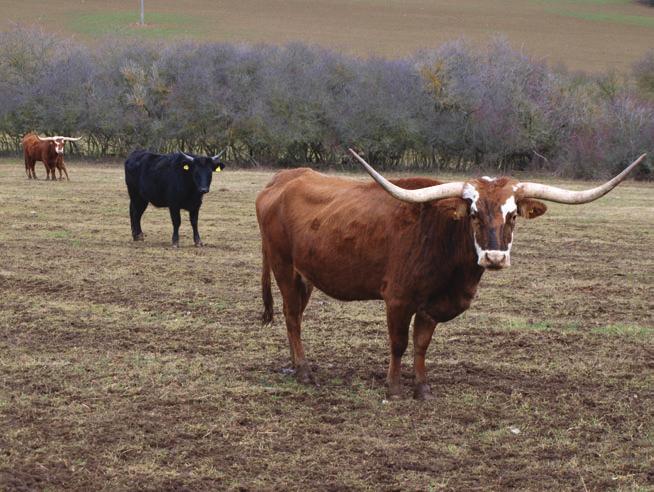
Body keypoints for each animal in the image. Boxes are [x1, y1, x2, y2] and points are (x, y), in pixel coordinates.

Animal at [255, 153, 644, 400]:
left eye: (513, 214)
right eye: (473, 213)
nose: (494, 257)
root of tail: (283, 178)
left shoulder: (433, 304)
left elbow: (422, 344)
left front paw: (422, 388)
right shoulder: (398, 299)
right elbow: (398, 343)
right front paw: (394, 388)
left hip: (305, 276)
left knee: (296, 316)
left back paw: (297, 365)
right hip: (283, 267)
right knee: (292, 317)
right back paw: (304, 371)